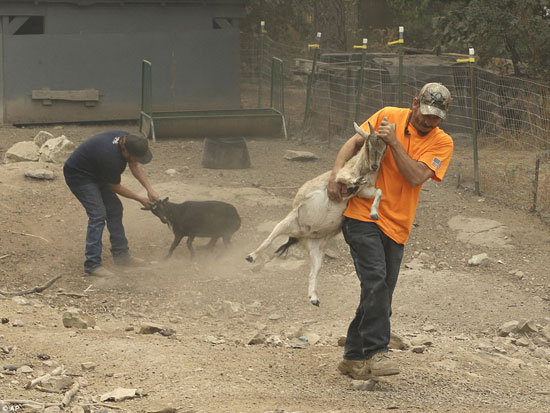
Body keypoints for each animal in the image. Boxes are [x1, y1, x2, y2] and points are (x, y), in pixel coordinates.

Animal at [246, 120, 388, 304]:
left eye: (384, 148)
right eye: (368, 145)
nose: (374, 166)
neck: (361, 169)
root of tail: (300, 235)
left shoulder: (363, 192)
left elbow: (378, 192)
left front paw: (374, 214)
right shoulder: (341, 177)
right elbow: (349, 180)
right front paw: (356, 183)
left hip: (317, 251)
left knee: (314, 271)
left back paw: (314, 298)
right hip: (286, 222)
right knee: (269, 240)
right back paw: (251, 256)